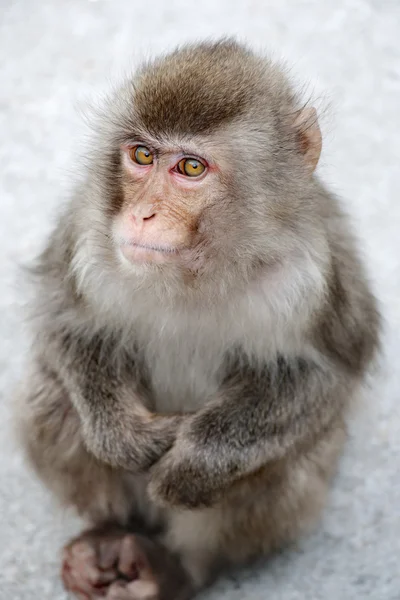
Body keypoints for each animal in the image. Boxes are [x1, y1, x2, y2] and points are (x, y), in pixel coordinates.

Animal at [14, 41, 380, 600]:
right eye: (142, 155)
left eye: (190, 167)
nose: (142, 214)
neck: (196, 273)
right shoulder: (85, 231)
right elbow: (65, 326)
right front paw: (128, 440)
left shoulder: (311, 274)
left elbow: (323, 376)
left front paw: (192, 465)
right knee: (50, 396)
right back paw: (108, 534)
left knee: (290, 458)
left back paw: (173, 568)